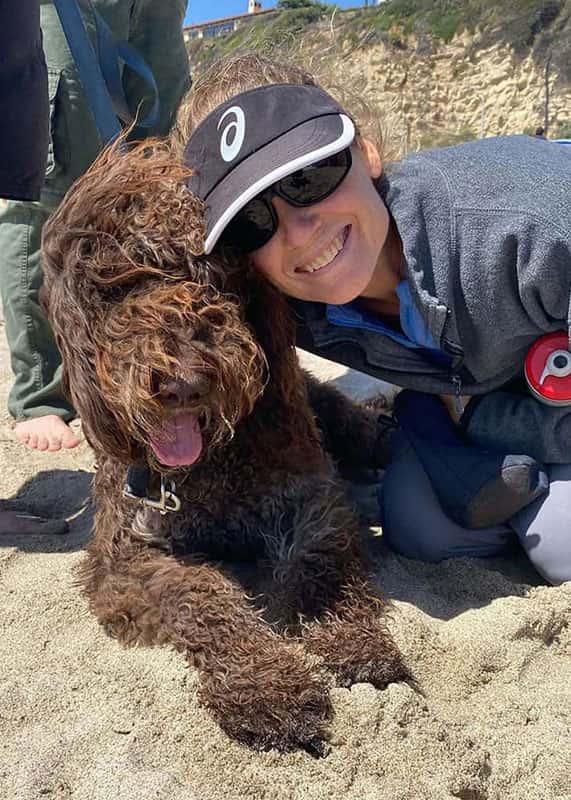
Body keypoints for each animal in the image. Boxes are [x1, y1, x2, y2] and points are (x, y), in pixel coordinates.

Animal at [42, 139, 412, 756]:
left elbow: (319, 566)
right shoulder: (128, 557)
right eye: (117, 281)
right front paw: (266, 687)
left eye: (212, 276)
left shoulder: (312, 502)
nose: (184, 381)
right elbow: (203, 594)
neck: (209, 465)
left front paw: (351, 642)